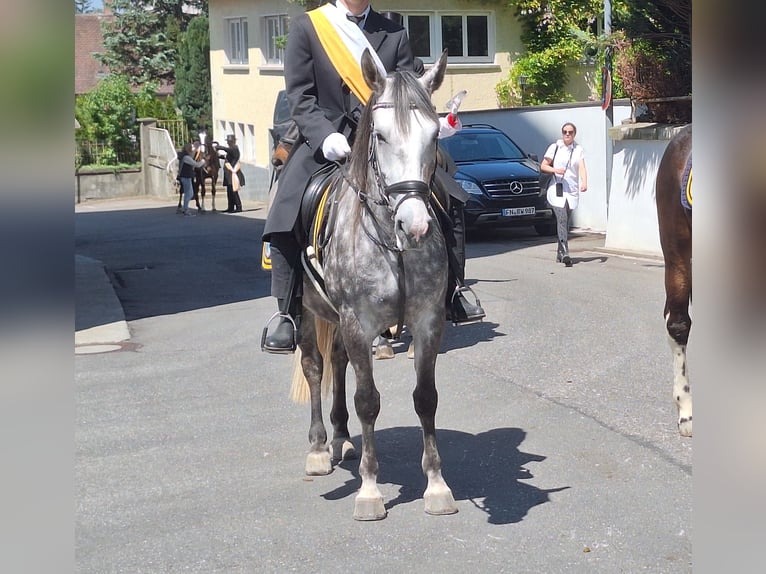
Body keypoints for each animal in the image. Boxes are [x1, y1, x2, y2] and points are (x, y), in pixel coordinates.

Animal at [286, 49, 456, 520]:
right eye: (379, 135)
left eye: (435, 135)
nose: (414, 226)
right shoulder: (356, 321)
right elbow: (368, 401)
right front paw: (369, 490)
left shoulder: (428, 320)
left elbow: (426, 397)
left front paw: (436, 485)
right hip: (310, 312)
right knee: (315, 367)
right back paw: (320, 448)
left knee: (338, 362)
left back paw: (342, 437)